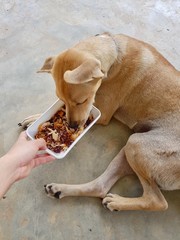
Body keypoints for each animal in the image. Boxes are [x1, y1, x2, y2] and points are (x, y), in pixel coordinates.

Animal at [23, 32, 180, 211]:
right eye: (62, 100)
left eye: (81, 101)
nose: (72, 126)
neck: (114, 57)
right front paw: (36, 118)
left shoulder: (103, 113)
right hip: (130, 149)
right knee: (100, 187)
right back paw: (60, 190)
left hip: (137, 144)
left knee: (157, 201)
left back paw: (119, 202)